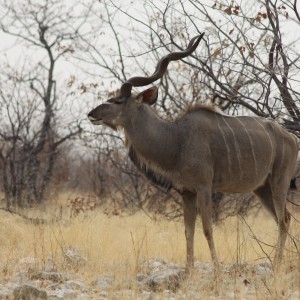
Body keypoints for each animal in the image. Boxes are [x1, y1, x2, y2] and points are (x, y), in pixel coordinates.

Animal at [88, 33, 298, 270]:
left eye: (117, 101)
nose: (91, 114)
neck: (176, 138)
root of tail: (292, 137)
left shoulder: (204, 187)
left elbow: (207, 229)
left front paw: (217, 270)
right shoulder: (186, 192)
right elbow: (188, 232)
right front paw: (189, 271)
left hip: (279, 182)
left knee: (283, 220)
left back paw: (276, 267)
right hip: (262, 188)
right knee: (284, 218)